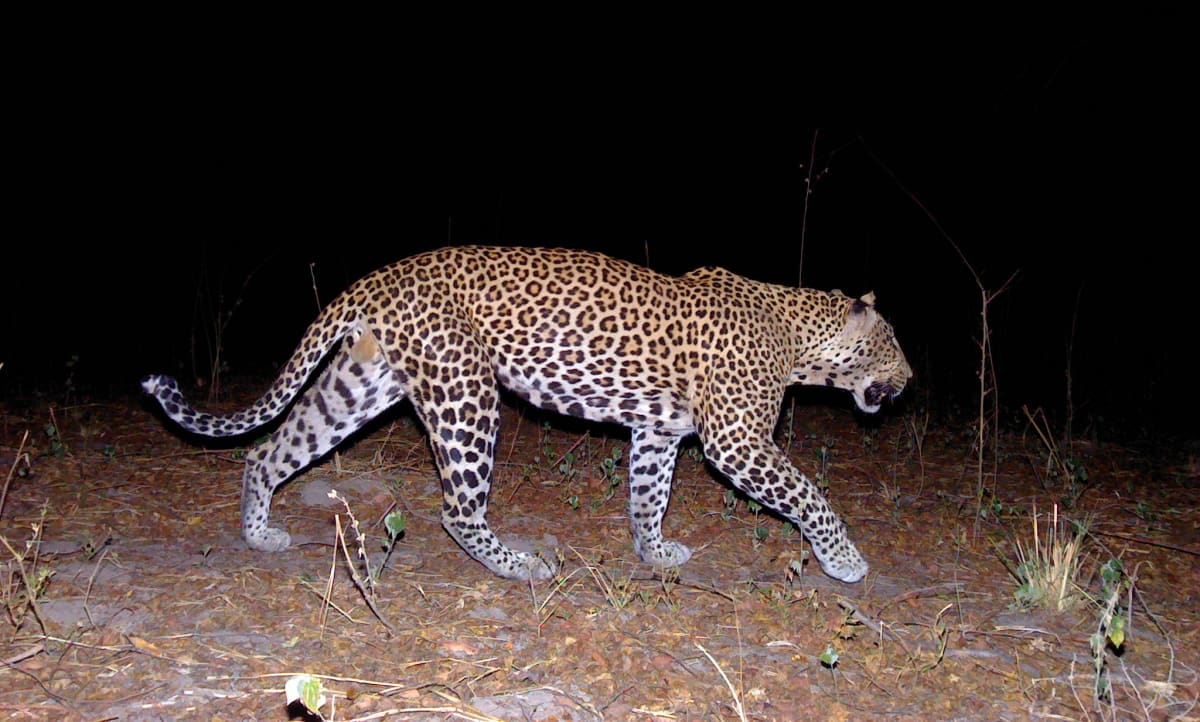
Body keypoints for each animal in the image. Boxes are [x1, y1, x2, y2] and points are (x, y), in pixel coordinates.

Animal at [142, 246, 912, 583]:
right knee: (456, 510)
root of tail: (380, 276)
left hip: (359, 385)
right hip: (467, 394)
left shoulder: (659, 432)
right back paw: (519, 564)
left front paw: (652, 552)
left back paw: (259, 535)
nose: (909, 380)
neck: (796, 335)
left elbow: (648, 495)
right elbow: (810, 495)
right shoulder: (737, 441)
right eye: (894, 344)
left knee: (267, 451)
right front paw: (845, 560)